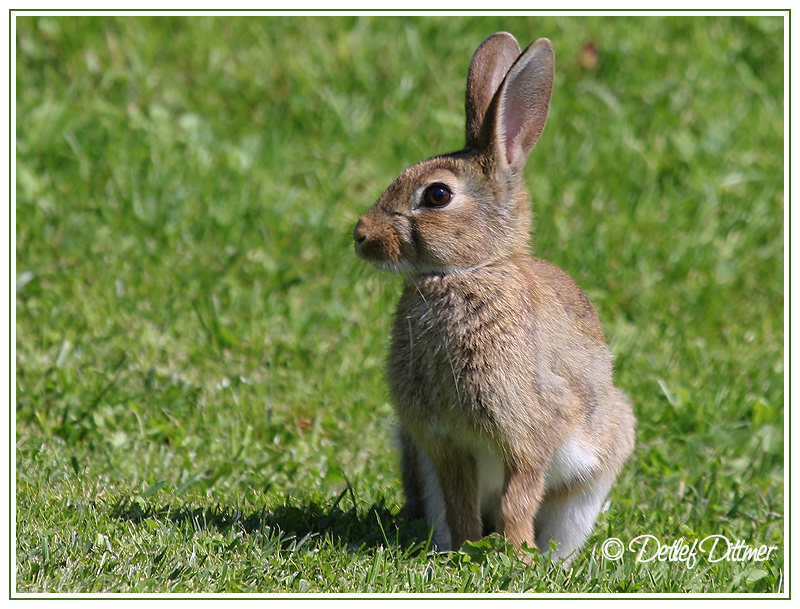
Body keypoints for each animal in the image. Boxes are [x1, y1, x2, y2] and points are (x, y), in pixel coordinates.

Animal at [354, 32, 636, 564]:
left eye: (437, 195)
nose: (361, 237)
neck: (466, 274)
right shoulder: (444, 441)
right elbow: (462, 499)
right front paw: (467, 551)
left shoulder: (530, 433)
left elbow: (518, 499)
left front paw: (517, 555)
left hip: (591, 480)